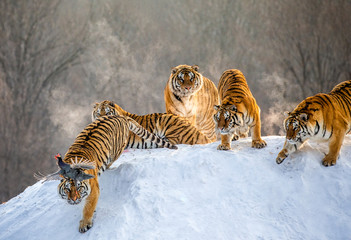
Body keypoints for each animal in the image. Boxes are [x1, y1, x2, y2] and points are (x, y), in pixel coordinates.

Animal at [35, 115, 177, 232]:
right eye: (68, 189)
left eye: (79, 188)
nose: (74, 200)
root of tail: (120, 116)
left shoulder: (93, 191)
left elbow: (88, 208)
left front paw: (85, 224)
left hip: (116, 150)